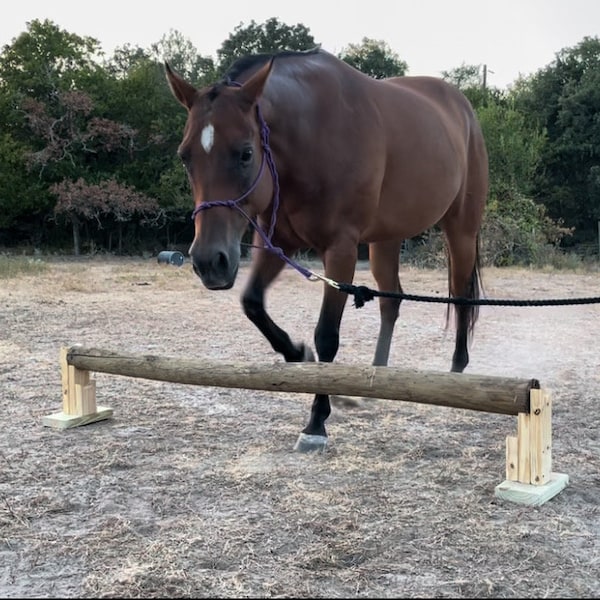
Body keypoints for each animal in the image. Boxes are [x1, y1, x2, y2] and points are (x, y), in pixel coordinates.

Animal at [165, 48, 488, 450]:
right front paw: (297, 354)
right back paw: (374, 380)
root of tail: (463, 108)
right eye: (185, 156)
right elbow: (252, 303)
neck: (312, 135)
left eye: (245, 153)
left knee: (462, 297)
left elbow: (327, 335)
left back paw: (456, 370)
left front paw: (316, 422)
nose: (210, 262)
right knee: (391, 300)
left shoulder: (340, 250)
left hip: (460, 230)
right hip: (386, 238)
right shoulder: (277, 243)